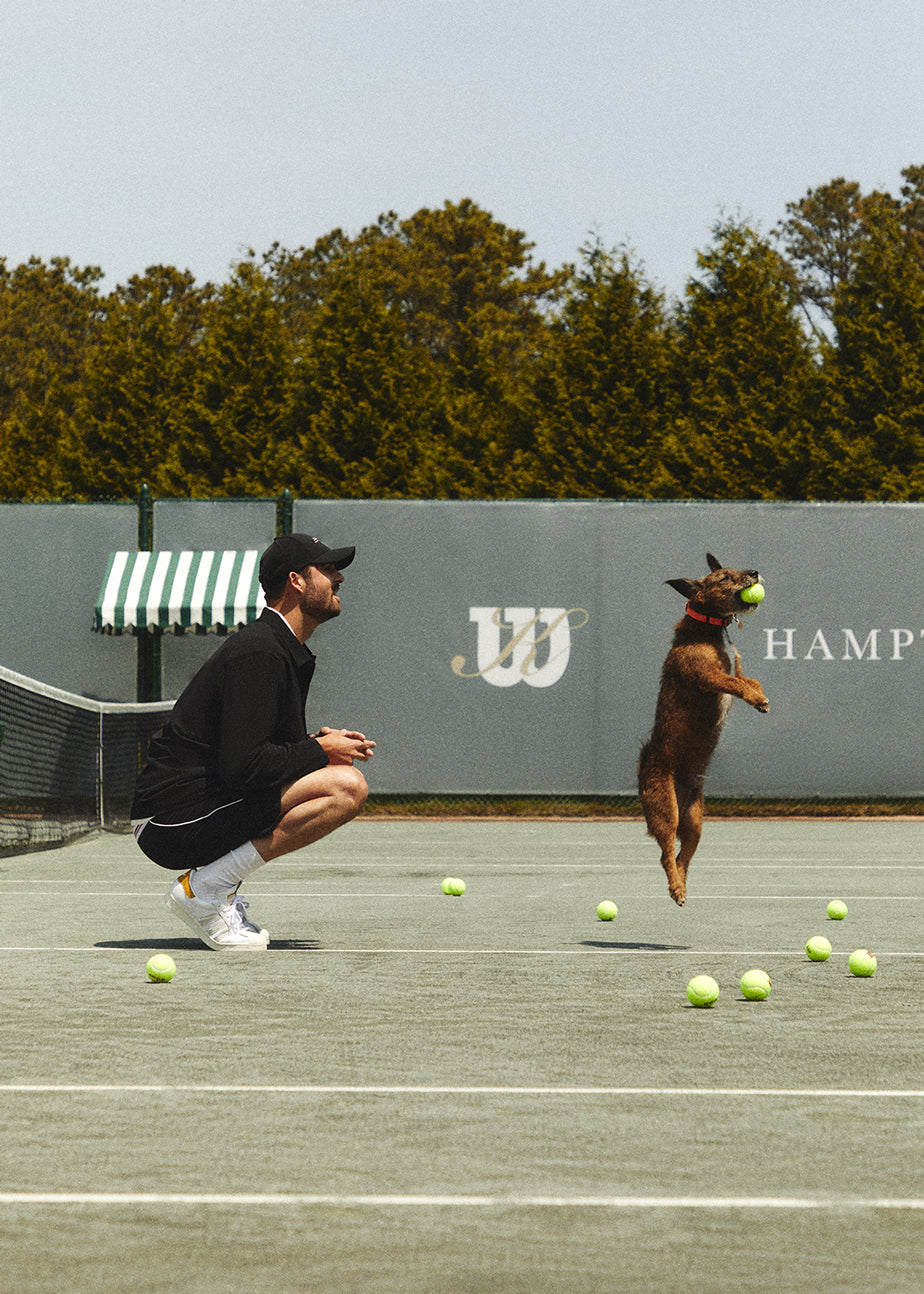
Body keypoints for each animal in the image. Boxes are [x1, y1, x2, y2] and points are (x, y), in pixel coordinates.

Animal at [636, 551, 766, 905]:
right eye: (723, 577)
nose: (754, 572)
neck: (708, 627)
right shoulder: (707, 676)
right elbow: (735, 683)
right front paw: (755, 699)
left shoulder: (739, 667)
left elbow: (749, 679)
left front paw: (760, 697)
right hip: (665, 810)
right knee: (666, 853)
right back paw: (676, 888)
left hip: (695, 821)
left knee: (683, 856)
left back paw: (681, 884)